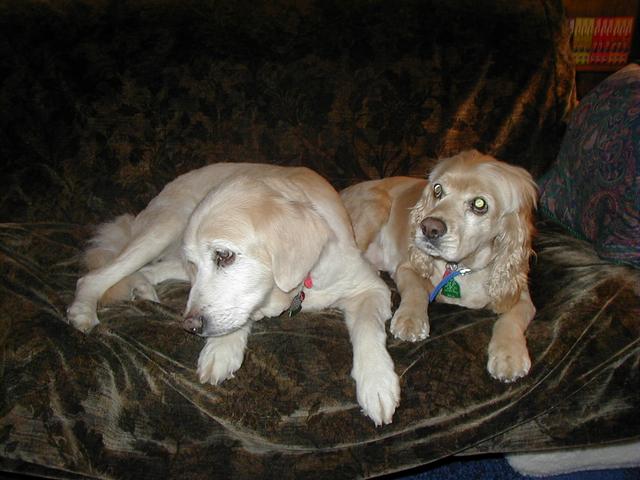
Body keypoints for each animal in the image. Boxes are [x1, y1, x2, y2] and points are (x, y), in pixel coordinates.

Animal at [67, 163, 400, 425]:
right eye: (196, 262)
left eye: (224, 256)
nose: (190, 327)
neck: (298, 288)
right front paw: (222, 349)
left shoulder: (370, 286)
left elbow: (367, 328)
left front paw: (377, 381)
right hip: (165, 226)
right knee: (93, 277)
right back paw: (83, 311)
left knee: (149, 270)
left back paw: (141, 286)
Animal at [340, 150, 538, 382]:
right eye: (438, 190)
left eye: (480, 204)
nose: (429, 227)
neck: (462, 268)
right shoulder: (407, 267)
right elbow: (416, 290)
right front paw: (411, 319)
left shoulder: (519, 294)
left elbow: (511, 320)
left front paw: (509, 355)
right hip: (376, 206)